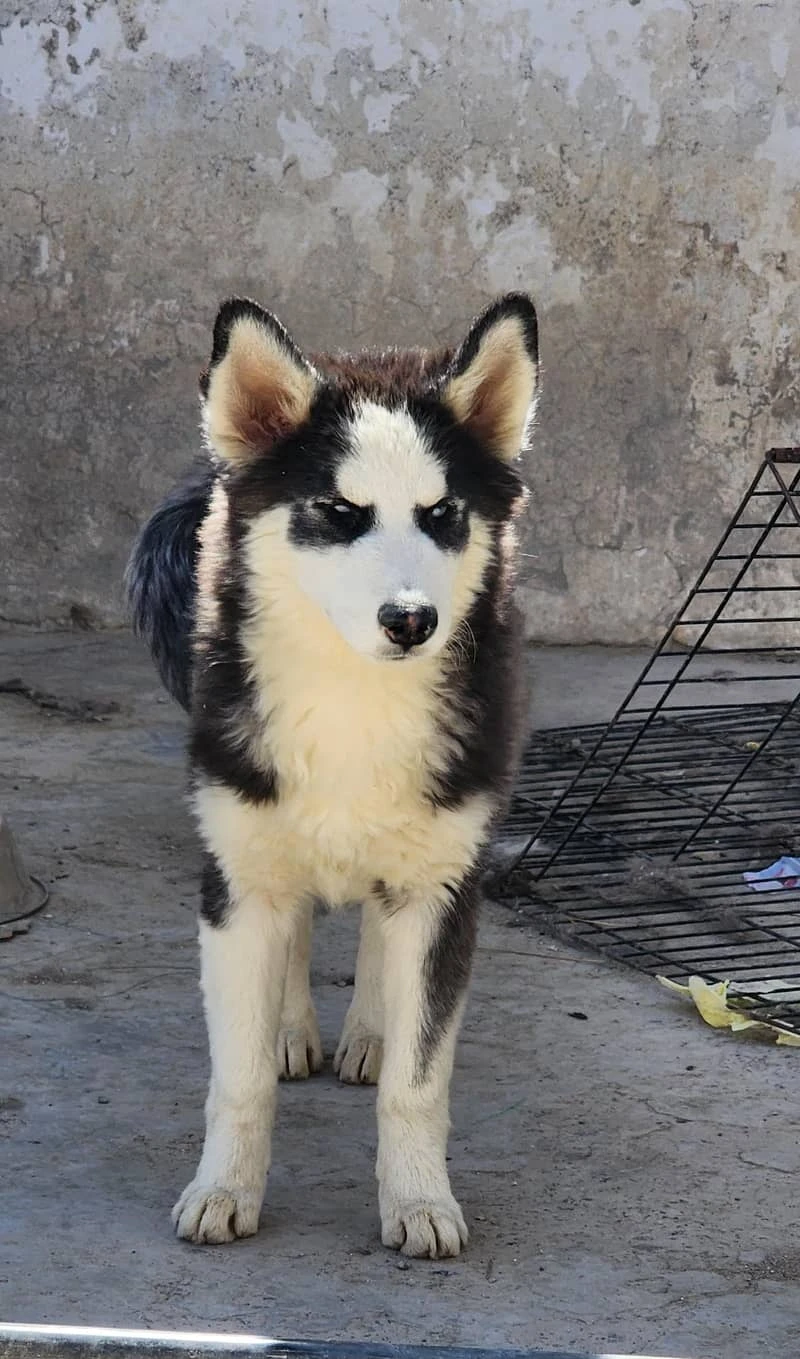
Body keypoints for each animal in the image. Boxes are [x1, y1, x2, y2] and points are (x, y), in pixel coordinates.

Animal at [126, 297, 537, 1261]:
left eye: (443, 513)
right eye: (339, 511)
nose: (411, 621)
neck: (357, 696)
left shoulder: (444, 883)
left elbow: (418, 1082)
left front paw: (419, 1198)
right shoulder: (236, 877)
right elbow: (237, 1075)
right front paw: (224, 1187)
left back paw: (370, 1032)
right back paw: (293, 1027)